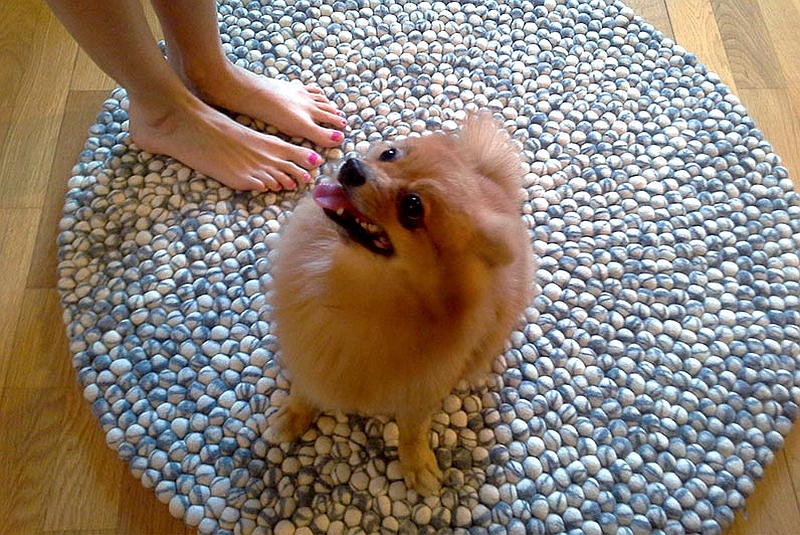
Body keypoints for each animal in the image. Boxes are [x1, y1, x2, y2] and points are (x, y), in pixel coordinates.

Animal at [266, 112, 536, 494]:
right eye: (389, 154)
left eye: (412, 208)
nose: (352, 168)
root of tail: (491, 182)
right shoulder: (309, 353)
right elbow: (303, 390)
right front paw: (292, 416)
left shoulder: (423, 389)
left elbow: (412, 427)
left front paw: (416, 462)